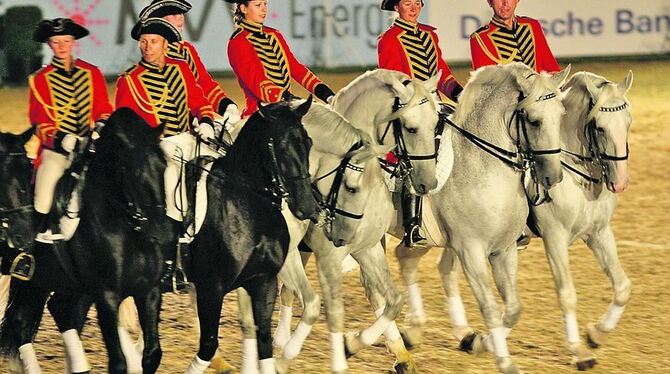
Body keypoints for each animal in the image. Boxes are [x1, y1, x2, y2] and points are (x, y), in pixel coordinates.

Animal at [0, 106, 173, 372]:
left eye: (163, 166)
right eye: (133, 171)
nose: (163, 232)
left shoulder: (149, 291)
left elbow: (152, 354)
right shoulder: (107, 295)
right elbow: (118, 362)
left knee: (46, 315)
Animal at [184, 98, 320, 372]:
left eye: (308, 142)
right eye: (279, 145)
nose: (308, 207)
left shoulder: (263, 281)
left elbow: (263, 341)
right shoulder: (211, 288)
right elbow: (208, 345)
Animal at [394, 62, 572, 372]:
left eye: (561, 115)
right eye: (534, 121)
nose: (553, 177)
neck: (481, 167)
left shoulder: (504, 250)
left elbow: (512, 308)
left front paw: (480, 343)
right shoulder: (471, 251)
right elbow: (489, 306)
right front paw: (505, 362)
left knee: (405, 260)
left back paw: (418, 331)